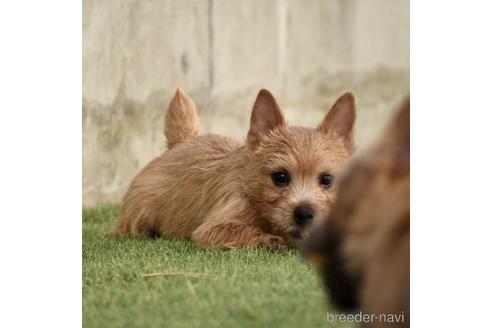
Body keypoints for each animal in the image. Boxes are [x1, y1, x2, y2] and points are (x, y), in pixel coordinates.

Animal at [113, 88, 356, 250]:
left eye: (327, 180)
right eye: (280, 177)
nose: (304, 213)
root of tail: (182, 141)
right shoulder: (212, 229)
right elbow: (244, 231)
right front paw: (273, 239)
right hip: (138, 214)